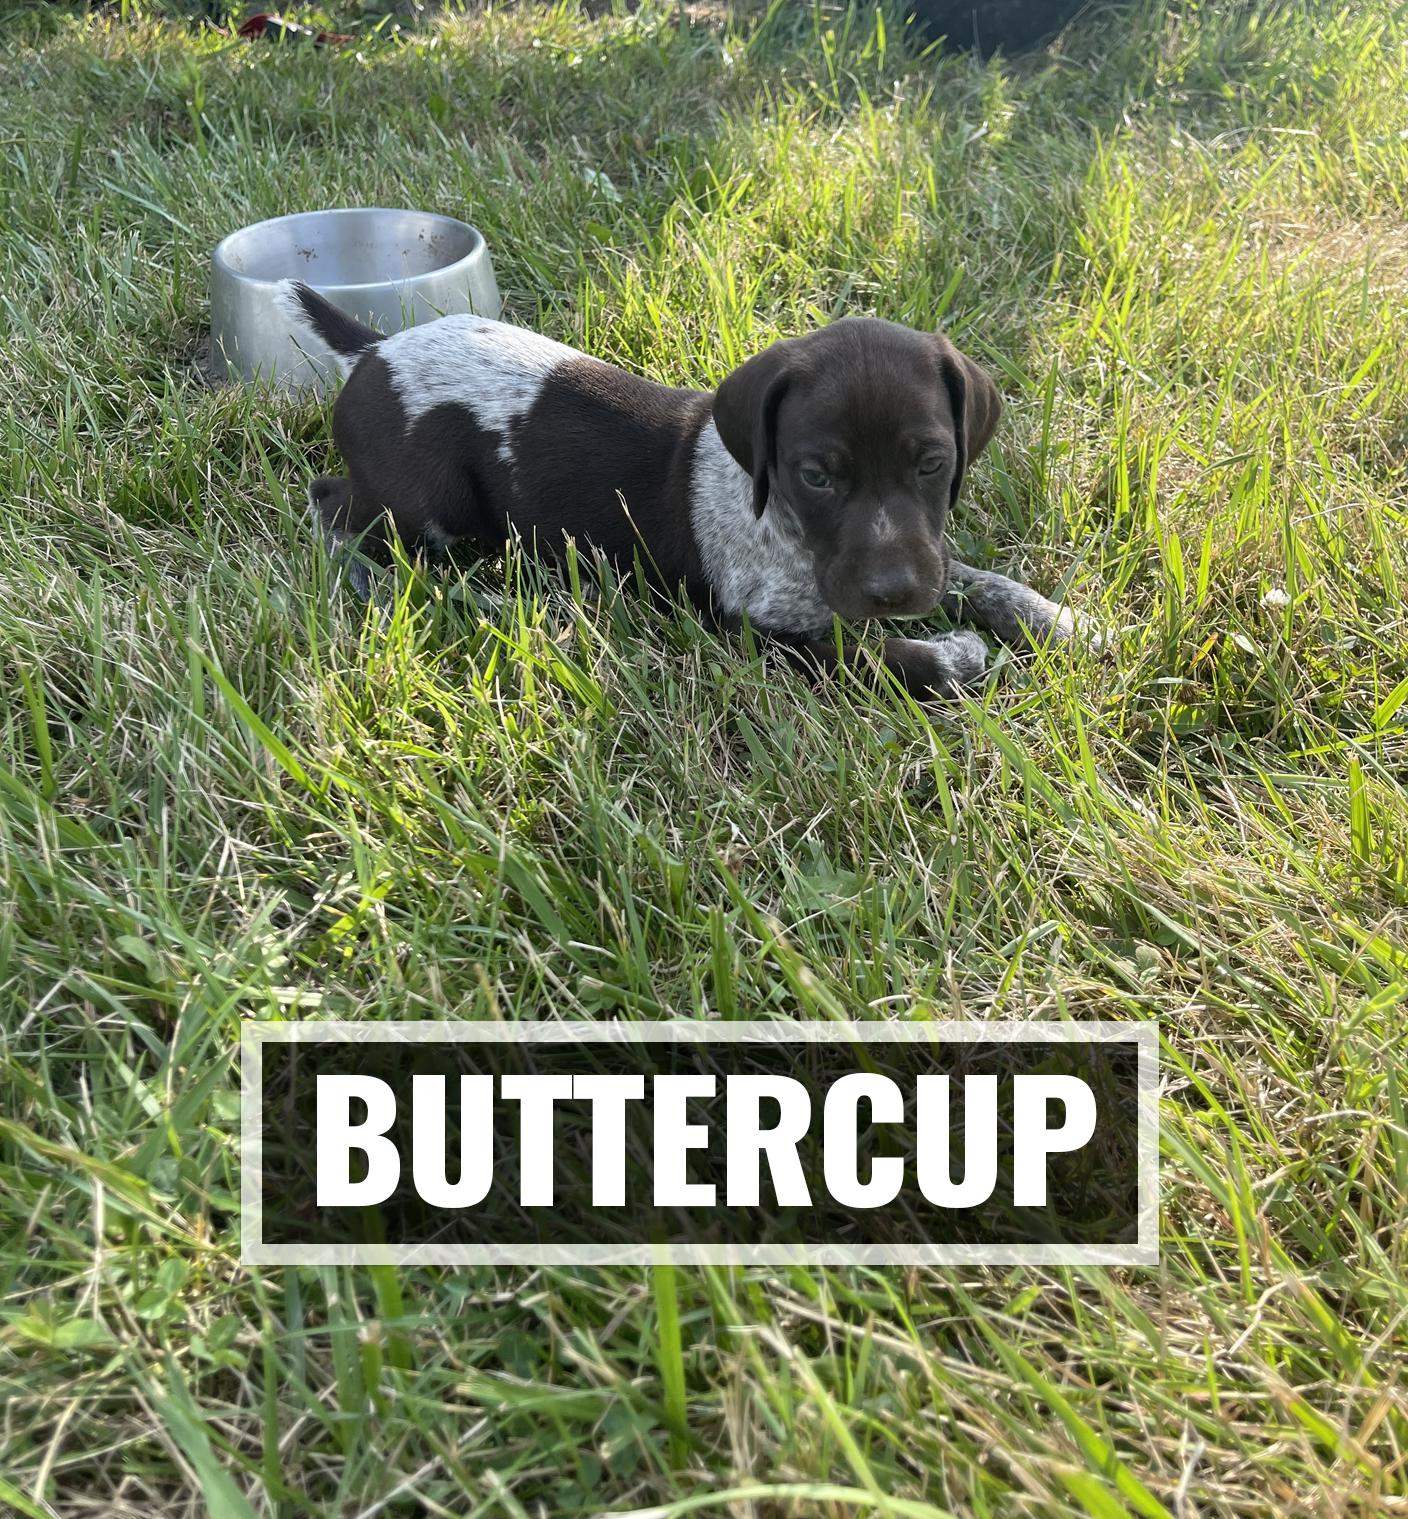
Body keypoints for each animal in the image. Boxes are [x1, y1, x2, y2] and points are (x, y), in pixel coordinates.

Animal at [284, 282, 1084, 696]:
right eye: (816, 475)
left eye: (932, 463)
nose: (893, 595)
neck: (781, 525)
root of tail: (374, 350)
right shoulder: (764, 631)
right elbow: (879, 656)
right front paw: (955, 656)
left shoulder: (922, 556)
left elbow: (976, 579)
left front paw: (1061, 620)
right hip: (427, 504)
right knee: (333, 509)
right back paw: (438, 590)